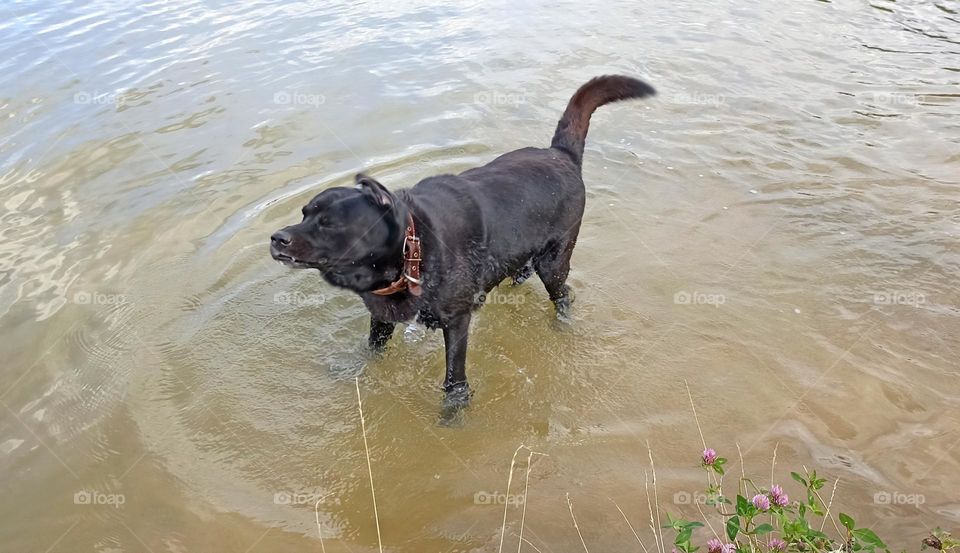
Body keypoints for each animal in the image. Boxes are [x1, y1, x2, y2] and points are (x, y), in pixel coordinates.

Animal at [274, 74, 656, 406]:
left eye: (329, 223)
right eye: (304, 213)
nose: (277, 238)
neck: (412, 249)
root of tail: (561, 154)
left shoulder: (456, 321)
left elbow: (453, 377)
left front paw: (454, 411)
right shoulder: (381, 316)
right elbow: (371, 350)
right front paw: (357, 368)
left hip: (555, 261)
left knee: (562, 294)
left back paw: (561, 321)